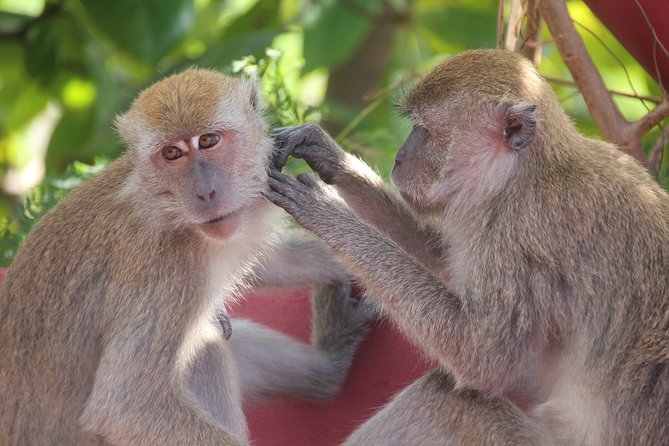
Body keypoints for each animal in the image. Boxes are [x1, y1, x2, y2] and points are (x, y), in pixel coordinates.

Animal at [0, 68, 374, 444]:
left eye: (208, 141)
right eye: (172, 153)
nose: (205, 193)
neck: (169, 210)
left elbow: (271, 260)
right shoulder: (164, 269)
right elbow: (127, 405)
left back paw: (327, 367)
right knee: (207, 346)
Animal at [266, 47, 668, 444]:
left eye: (426, 130)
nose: (398, 158)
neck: (524, 172)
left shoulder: (518, 229)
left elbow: (482, 357)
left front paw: (325, 210)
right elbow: (443, 262)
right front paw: (329, 154)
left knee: (445, 400)